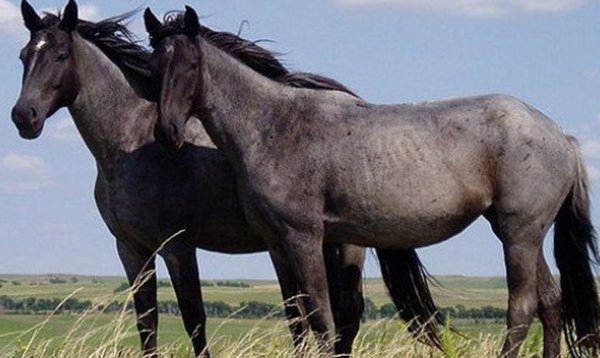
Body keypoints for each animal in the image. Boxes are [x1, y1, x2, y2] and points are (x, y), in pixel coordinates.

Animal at [10, 1, 436, 356]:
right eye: (24, 56)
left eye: (60, 55)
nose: (23, 117)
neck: (129, 144)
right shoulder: (131, 249)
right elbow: (147, 323)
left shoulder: (178, 247)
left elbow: (194, 319)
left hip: (347, 244)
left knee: (346, 315)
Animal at [148, 5, 600, 358]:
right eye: (155, 66)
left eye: (191, 66)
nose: (166, 132)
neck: (274, 127)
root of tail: (559, 135)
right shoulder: (277, 244)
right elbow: (297, 319)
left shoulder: (305, 238)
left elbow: (321, 317)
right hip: (522, 233)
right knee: (551, 303)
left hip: (519, 235)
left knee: (521, 308)